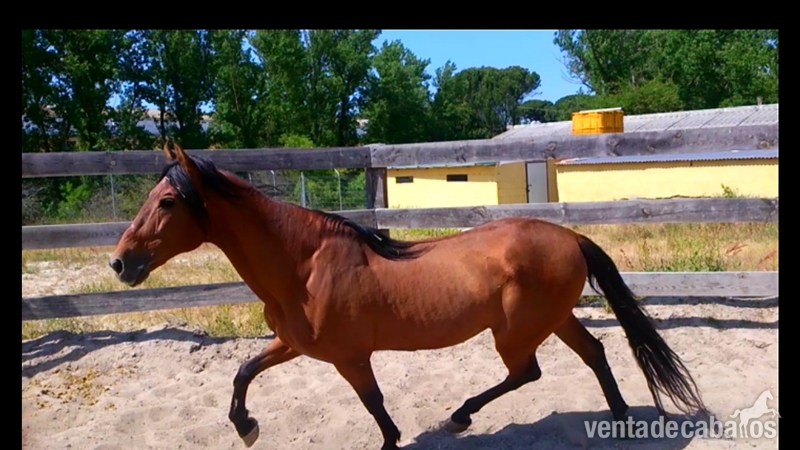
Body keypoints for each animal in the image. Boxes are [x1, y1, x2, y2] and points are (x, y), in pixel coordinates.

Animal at [108, 140, 709, 449]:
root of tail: (569, 236)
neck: (304, 267)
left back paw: (460, 416)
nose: (119, 262)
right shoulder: (296, 344)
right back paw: (621, 420)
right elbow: (242, 371)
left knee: (528, 372)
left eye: (167, 202)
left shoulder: (349, 356)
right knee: (595, 353)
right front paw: (246, 427)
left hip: (516, 332)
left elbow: (373, 402)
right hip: (553, 319)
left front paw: (392, 440)